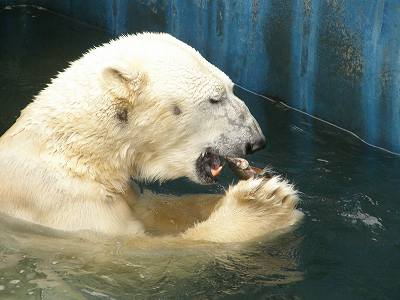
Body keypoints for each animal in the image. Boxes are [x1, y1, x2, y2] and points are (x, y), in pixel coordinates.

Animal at [0, 33, 302, 244]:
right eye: (215, 98)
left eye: (232, 88)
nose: (257, 141)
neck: (78, 152)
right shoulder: (63, 204)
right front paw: (265, 203)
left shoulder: (121, 191)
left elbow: (153, 208)